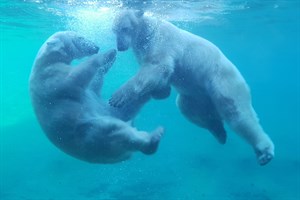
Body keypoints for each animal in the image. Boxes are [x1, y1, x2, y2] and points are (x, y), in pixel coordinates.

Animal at [29, 30, 163, 162]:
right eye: (80, 37)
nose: (96, 47)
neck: (45, 62)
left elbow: (94, 85)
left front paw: (110, 59)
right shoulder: (51, 78)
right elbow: (76, 74)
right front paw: (108, 54)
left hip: (107, 111)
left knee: (125, 108)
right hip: (89, 134)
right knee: (116, 130)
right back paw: (153, 138)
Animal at [109, 10, 274, 165]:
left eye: (125, 28)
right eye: (114, 30)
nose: (120, 47)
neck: (147, 30)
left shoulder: (160, 40)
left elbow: (158, 66)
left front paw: (117, 97)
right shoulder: (141, 50)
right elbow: (159, 76)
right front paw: (162, 91)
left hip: (223, 82)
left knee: (238, 113)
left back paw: (264, 151)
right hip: (197, 97)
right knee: (189, 109)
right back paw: (219, 132)